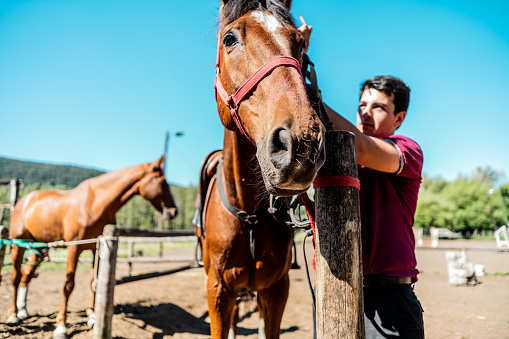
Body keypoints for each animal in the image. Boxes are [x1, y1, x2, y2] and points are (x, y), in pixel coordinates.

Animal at [4, 156, 177, 338]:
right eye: (162, 183)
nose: (174, 211)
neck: (96, 204)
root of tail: (24, 201)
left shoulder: (96, 248)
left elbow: (93, 281)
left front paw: (92, 316)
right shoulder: (74, 249)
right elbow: (69, 285)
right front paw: (61, 326)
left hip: (40, 246)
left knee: (27, 274)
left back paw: (23, 310)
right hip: (18, 244)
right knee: (16, 277)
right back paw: (13, 315)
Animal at [200, 1, 324, 338]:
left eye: (300, 43)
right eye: (229, 39)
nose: (302, 142)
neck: (250, 214)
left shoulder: (276, 291)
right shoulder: (218, 291)